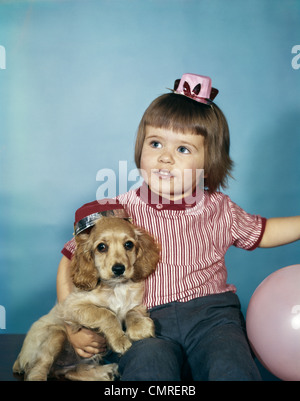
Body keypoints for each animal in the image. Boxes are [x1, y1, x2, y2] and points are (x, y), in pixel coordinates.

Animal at [12, 217, 161, 380]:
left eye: (129, 245)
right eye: (101, 247)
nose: (118, 269)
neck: (115, 287)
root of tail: (19, 359)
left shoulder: (137, 303)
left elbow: (131, 312)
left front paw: (140, 327)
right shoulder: (72, 306)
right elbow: (107, 313)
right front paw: (119, 340)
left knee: (70, 371)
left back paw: (106, 371)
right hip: (56, 334)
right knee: (37, 371)